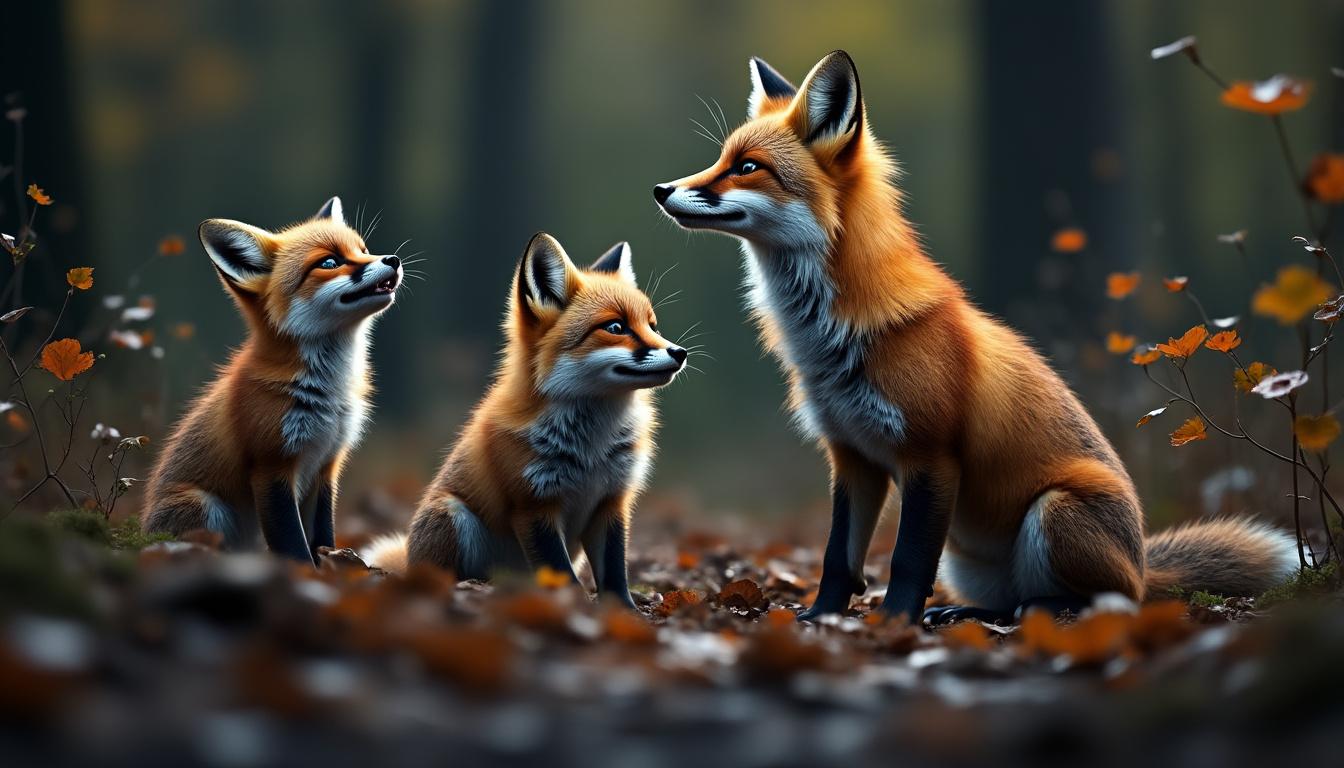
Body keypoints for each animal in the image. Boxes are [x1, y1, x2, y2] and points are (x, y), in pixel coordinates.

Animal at [142, 197, 403, 565]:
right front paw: (306, 574)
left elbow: (323, 538)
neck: (327, 393)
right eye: (329, 262)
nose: (392, 260)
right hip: (207, 507)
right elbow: (293, 545)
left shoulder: (326, 466)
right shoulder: (271, 466)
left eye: (363, 250)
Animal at [363, 233, 685, 607]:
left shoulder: (611, 501)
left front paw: (623, 608)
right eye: (616, 327)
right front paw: (574, 604)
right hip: (453, 516)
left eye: (652, 325)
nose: (680, 353)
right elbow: (561, 571)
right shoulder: (533, 505)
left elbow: (615, 571)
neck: (591, 450)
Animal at [654, 51, 1297, 624]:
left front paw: (893, 624)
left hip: (1055, 511)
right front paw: (820, 619)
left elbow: (907, 561)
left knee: (1100, 601)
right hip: (967, 563)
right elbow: (839, 559)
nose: (661, 190)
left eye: (747, 167)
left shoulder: (930, 457)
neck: (828, 335)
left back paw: (1041, 610)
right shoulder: (852, 456)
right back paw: (964, 615)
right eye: (721, 158)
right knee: (1007, 602)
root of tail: (1142, 562)